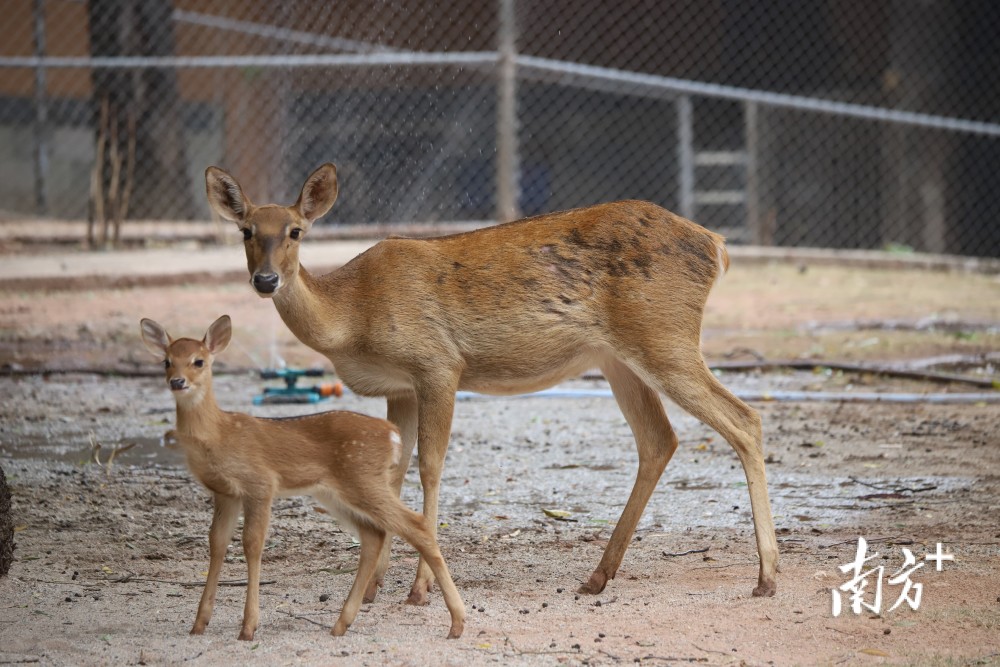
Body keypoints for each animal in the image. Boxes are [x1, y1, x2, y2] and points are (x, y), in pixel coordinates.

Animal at [140, 316, 464, 640]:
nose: (177, 382)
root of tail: (392, 435)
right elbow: (217, 543)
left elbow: (252, 544)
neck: (219, 433)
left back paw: (456, 622)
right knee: (374, 535)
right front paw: (199, 624)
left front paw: (248, 627)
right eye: (166, 361)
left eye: (199, 361)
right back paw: (341, 624)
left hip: (362, 480)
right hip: (336, 492)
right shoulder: (224, 493)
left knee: (416, 525)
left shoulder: (260, 484)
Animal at [203, 163, 780, 604]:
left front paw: (418, 590)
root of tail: (716, 244)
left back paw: (766, 577)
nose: (265, 280)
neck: (352, 316)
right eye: (246, 231)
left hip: (664, 334)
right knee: (660, 439)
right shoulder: (398, 388)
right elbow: (393, 473)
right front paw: (372, 587)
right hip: (619, 357)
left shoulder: (438, 363)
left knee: (745, 419)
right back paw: (597, 576)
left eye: (296, 231)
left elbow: (431, 468)